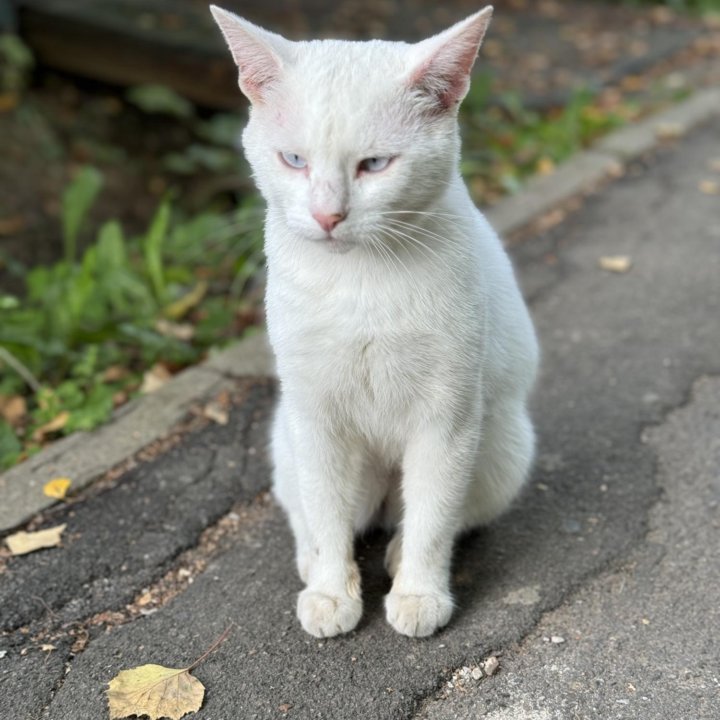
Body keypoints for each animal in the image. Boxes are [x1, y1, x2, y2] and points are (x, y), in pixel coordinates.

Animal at [211, 4, 536, 636]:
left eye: (375, 165)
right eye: (294, 160)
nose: (327, 215)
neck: (358, 283)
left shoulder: (448, 419)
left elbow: (435, 516)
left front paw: (419, 593)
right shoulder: (315, 416)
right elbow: (326, 513)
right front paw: (331, 591)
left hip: (502, 447)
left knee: (436, 515)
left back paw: (398, 552)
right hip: (288, 441)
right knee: (308, 512)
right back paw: (312, 562)